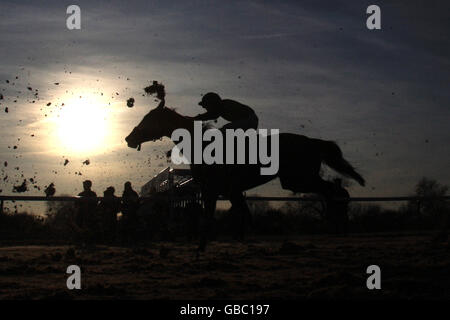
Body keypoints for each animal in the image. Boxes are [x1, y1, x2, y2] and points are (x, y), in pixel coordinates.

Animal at [125, 105, 364, 250]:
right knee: (330, 191)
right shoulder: (229, 191)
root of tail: (312, 141)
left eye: (148, 119)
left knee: (331, 191)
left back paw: (334, 220)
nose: (129, 138)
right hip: (296, 180)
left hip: (298, 179)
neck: (201, 145)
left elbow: (209, 217)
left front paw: (202, 247)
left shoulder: (212, 190)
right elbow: (241, 213)